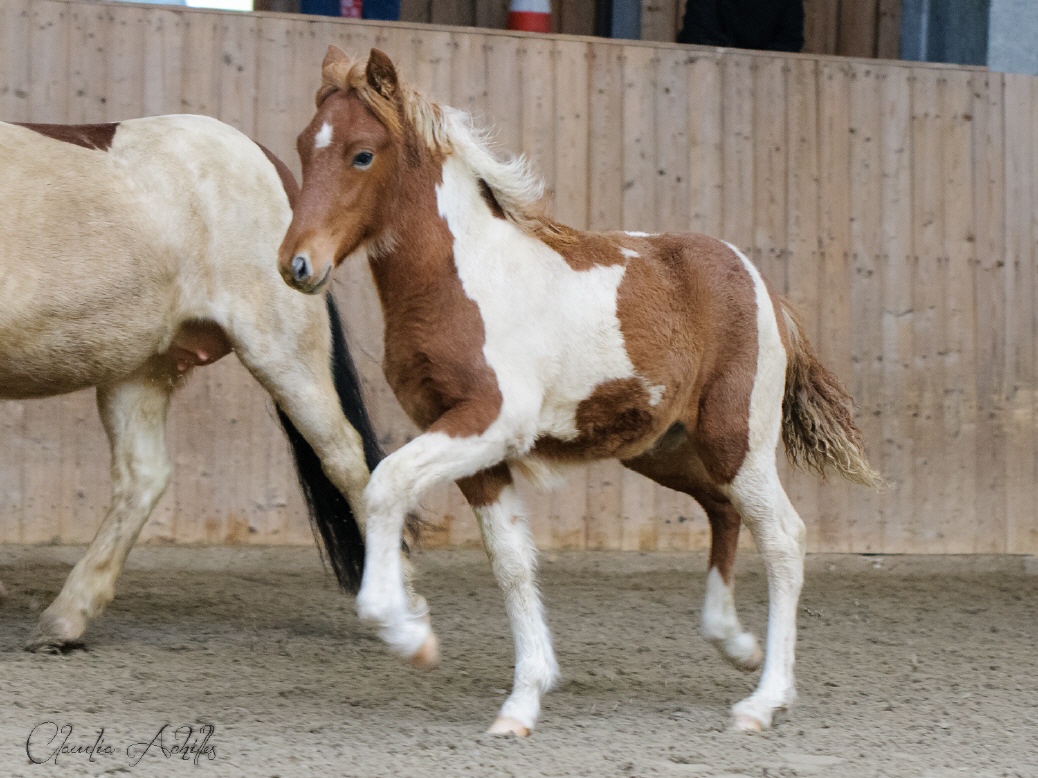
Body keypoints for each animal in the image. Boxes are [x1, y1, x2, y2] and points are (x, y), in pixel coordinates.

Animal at [0, 114, 413, 651]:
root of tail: (272, 166)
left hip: (280, 350)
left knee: (344, 456)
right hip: (139, 369)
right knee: (143, 478)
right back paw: (65, 620)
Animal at [280, 48, 880, 738]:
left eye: (362, 154)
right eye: (304, 145)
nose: (296, 264)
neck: (464, 281)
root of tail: (761, 285)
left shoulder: (491, 422)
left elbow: (386, 485)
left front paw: (409, 634)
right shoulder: (471, 444)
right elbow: (511, 560)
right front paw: (522, 702)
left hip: (735, 440)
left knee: (782, 536)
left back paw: (765, 698)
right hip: (663, 450)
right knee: (724, 510)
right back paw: (737, 644)